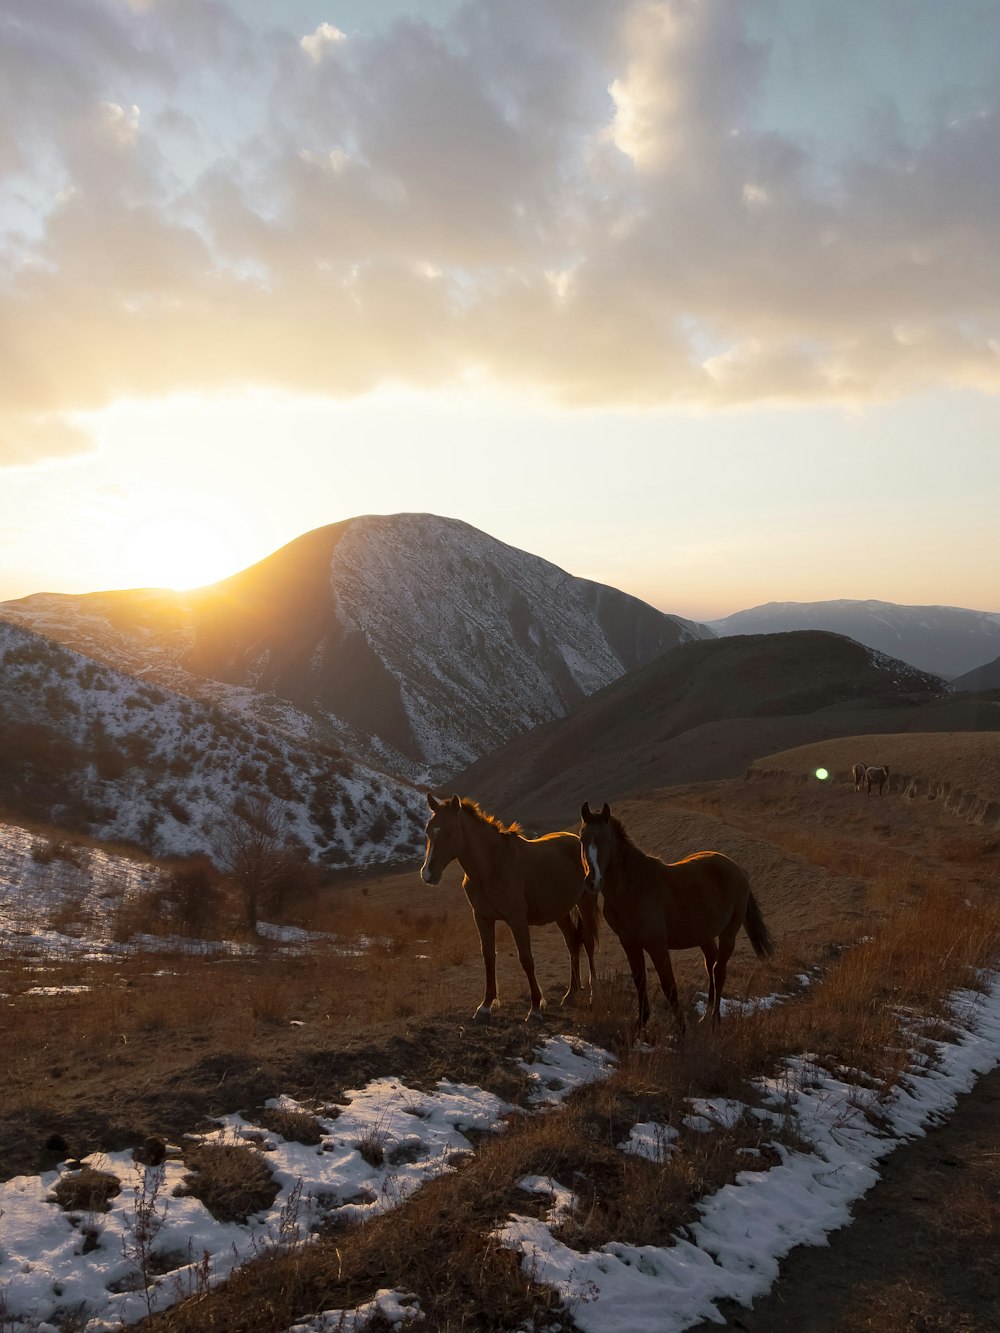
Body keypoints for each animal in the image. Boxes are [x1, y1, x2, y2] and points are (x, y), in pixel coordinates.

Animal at [418, 789, 600, 1018]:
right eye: (428, 831)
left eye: (450, 832)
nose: (428, 874)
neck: (491, 867)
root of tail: (577, 840)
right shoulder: (482, 918)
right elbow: (488, 957)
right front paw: (485, 1005)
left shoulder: (517, 919)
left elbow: (526, 959)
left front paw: (535, 1006)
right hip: (561, 912)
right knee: (573, 944)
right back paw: (570, 994)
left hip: (586, 904)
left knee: (588, 943)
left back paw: (593, 994)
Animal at [578, 799, 773, 1029]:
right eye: (582, 839)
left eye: (605, 840)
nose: (592, 881)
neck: (632, 887)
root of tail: (736, 868)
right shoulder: (629, 942)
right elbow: (639, 980)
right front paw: (641, 1024)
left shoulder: (657, 945)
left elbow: (668, 985)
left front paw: (681, 1028)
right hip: (704, 935)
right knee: (711, 965)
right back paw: (706, 1015)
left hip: (729, 933)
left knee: (719, 970)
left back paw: (714, 1019)